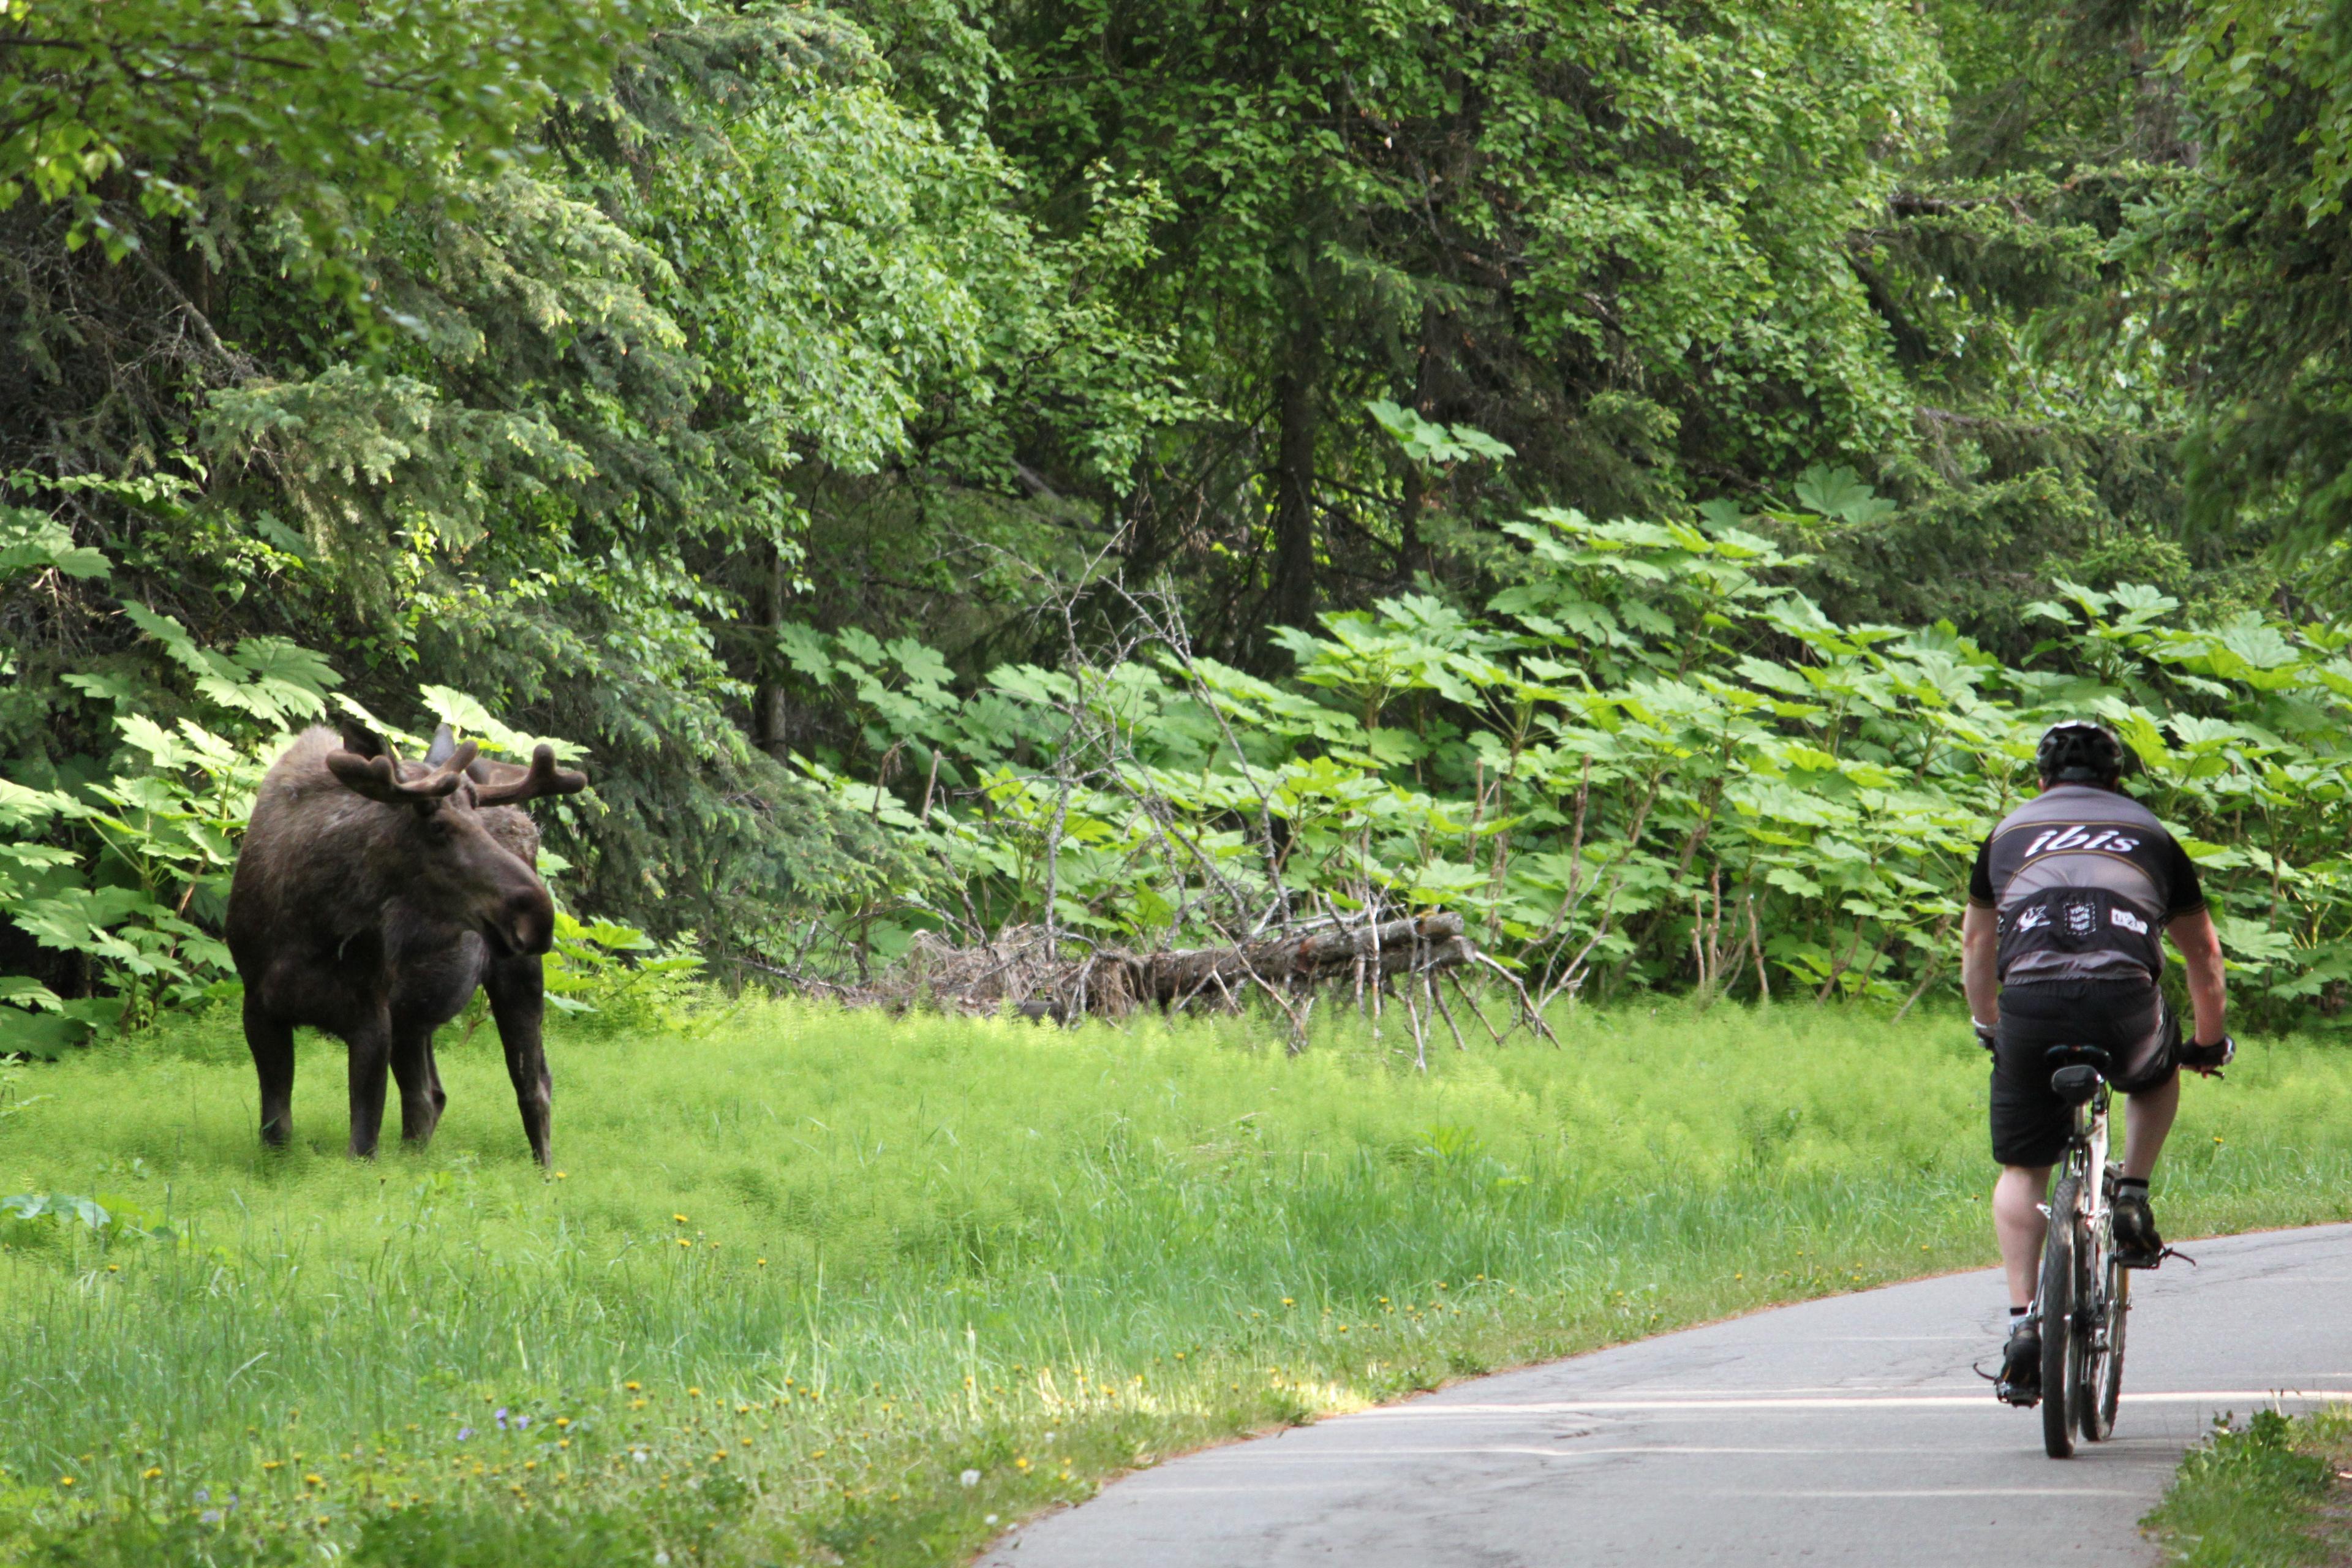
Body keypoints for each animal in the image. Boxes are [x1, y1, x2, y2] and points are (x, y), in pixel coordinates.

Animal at [225, 724, 588, 1166]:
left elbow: (363, 1145)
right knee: (429, 1096)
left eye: (477, 818)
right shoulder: (259, 1009)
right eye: (437, 826)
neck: (313, 922)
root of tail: (528, 822)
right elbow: (277, 1131)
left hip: (516, 977)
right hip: (414, 1017)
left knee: (534, 1087)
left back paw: (545, 1172)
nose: (538, 913)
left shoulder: (372, 1015)